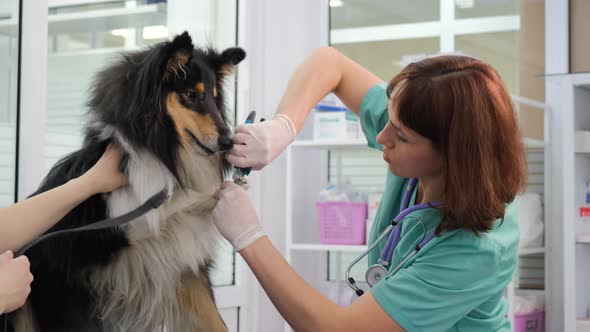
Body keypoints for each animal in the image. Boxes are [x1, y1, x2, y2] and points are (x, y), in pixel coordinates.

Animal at [9, 31, 245, 332]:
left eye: (215, 99)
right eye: (191, 95)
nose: (229, 142)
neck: (164, 161)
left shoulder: (184, 263)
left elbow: (216, 321)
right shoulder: (68, 274)